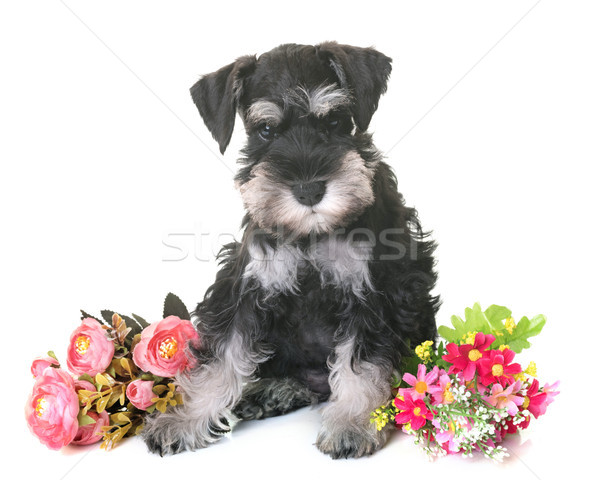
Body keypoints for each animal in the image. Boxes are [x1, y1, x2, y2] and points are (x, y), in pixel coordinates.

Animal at [143, 41, 438, 458]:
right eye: (265, 130)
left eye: (335, 121)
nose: (309, 190)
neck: (310, 234)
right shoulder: (245, 288)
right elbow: (219, 359)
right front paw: (184, 419)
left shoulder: (373, 293)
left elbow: (360, 364)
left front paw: (352, 423)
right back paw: (268, 391)